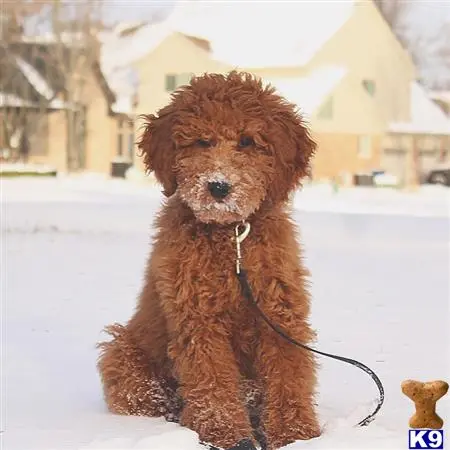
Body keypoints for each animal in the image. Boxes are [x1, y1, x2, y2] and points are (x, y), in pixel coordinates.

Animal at [98, 72, 322, 448]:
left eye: (247, 142)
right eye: (202, 141)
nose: (219, 186)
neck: (231, 239)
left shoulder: (280, 313)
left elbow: (288, 373)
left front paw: (296, 435)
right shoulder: (198, 318)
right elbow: (212, 378)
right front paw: (227, 434)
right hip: (123, 353)